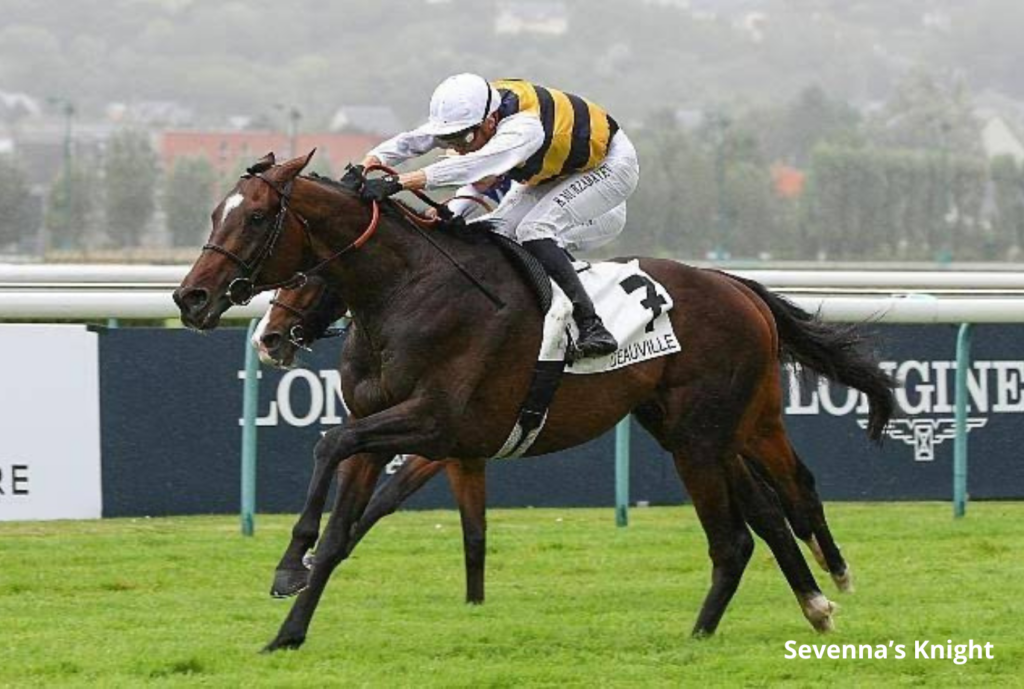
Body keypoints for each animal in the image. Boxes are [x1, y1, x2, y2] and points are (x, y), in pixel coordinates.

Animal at [174, 152, 895, 652]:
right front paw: (288, 627)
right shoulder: (384, 425)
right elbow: (340, 523)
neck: (407, 293)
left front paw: (286, 565)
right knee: (764, 517)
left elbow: (329, 446)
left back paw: (725, 625)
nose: (192, 297)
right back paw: (808, 604)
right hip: (692, 430)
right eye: (214, 214)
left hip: (710, 431)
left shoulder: (435, 425)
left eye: (257, 218)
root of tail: (736, 285)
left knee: (745, 528)